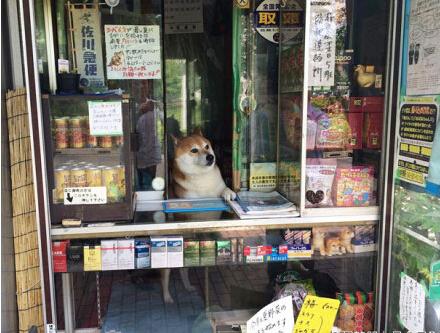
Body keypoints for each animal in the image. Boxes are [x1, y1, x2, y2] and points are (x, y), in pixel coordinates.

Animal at [161, 127, 237, 304]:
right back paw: (167, 297)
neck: (203, 179)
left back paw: (188, 286)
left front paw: (229, 193)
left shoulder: (217, 189)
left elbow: (224, 190)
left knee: (183, 270)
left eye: (207, 146)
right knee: (165, 277)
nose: (211, 157)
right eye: (194, 150)